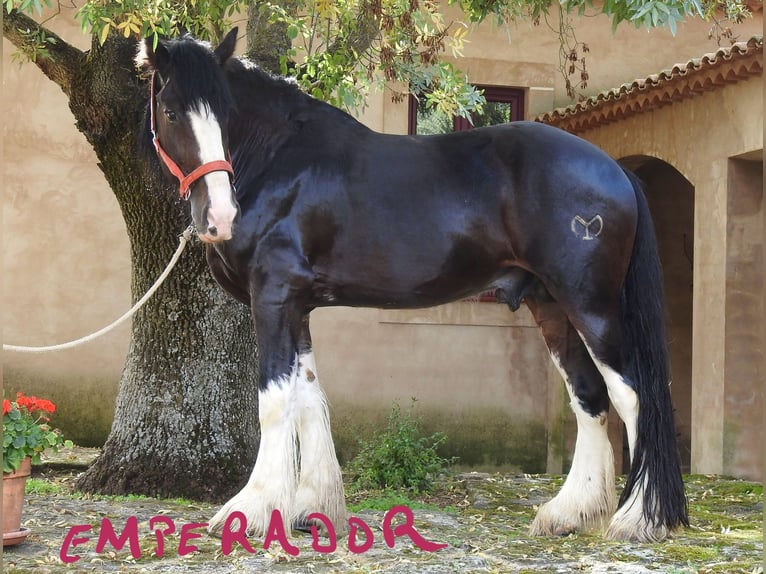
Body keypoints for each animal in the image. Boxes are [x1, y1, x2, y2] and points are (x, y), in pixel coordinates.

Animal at [136, 28, 688, 544]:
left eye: (224, 112)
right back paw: (569, 513)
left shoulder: (273, 297)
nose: (218, 216)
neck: (279, 160)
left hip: (591, 304)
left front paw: (249, 510)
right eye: (172, 111)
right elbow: (309, 397)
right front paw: (310, 509)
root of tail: (615, 170)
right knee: (589, 396)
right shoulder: (298, 307)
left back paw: (638, 519)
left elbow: (275, 399)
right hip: (550, 304)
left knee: (633, 396)